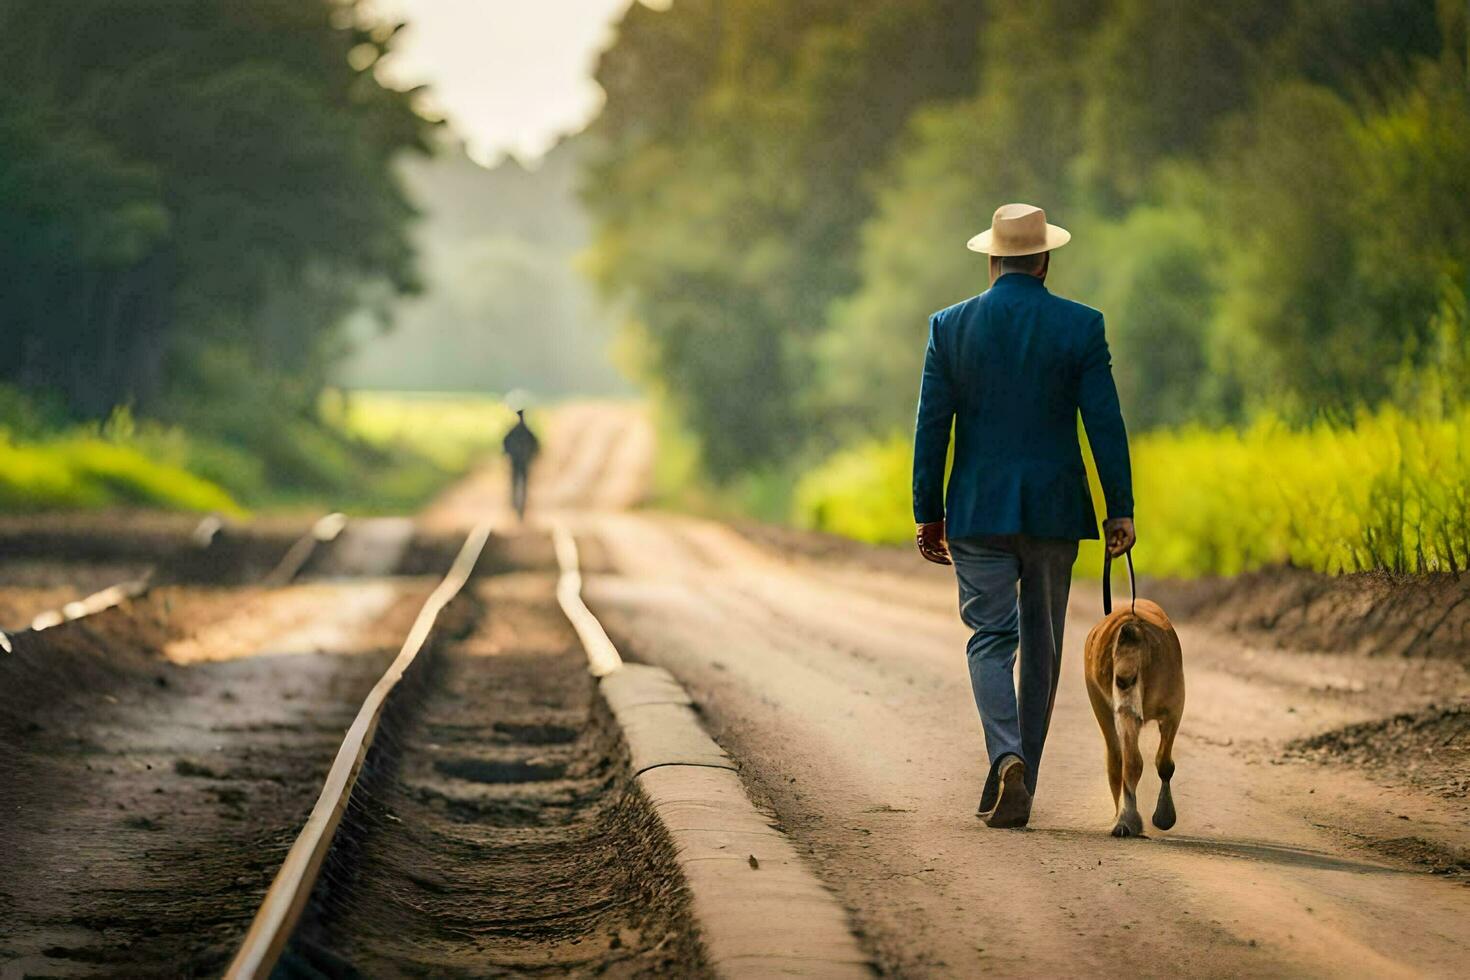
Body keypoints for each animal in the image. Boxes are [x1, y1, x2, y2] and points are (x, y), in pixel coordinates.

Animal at [1087, 602, 1187, 840]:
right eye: (1120, 679)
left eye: (1132, 677)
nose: (1125, 685)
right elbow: (1133, 761)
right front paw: (1129, 819)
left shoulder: (1174, 708)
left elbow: (1163, 762)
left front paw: (1163, 815)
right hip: (1103, 706)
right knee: (1117, 757)